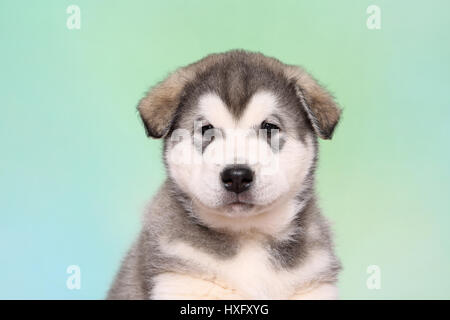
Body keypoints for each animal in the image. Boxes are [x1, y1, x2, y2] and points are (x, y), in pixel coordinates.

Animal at [108, 50, 342, 300]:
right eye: (206, 129)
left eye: (269, 127)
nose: (237, 176)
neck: (249, 235)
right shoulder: (180, 282)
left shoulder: (313, 286)